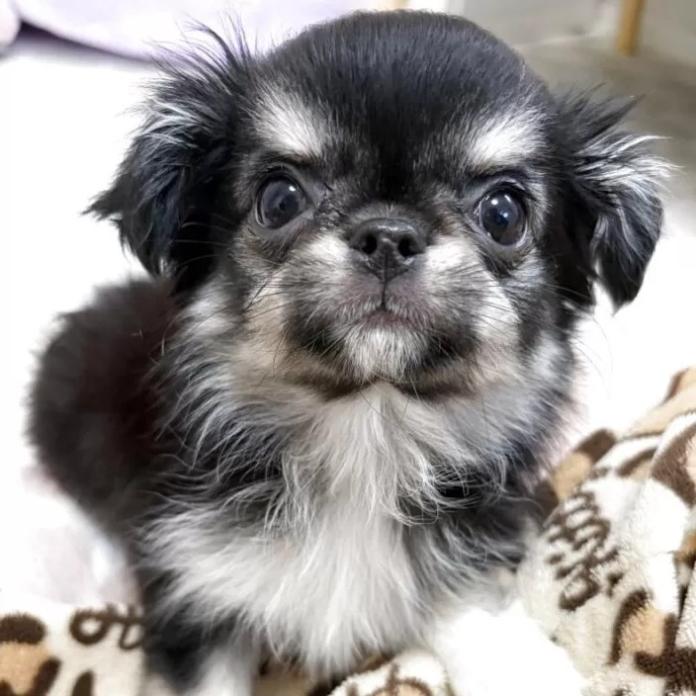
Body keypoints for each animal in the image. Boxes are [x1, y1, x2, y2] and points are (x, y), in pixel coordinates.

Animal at [30, 10, 666, 695]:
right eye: (280, 199)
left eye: (503, 213)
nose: (387, 235)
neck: (368, 431)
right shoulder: (192, 592)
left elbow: (467, 606)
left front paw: (522, 667)